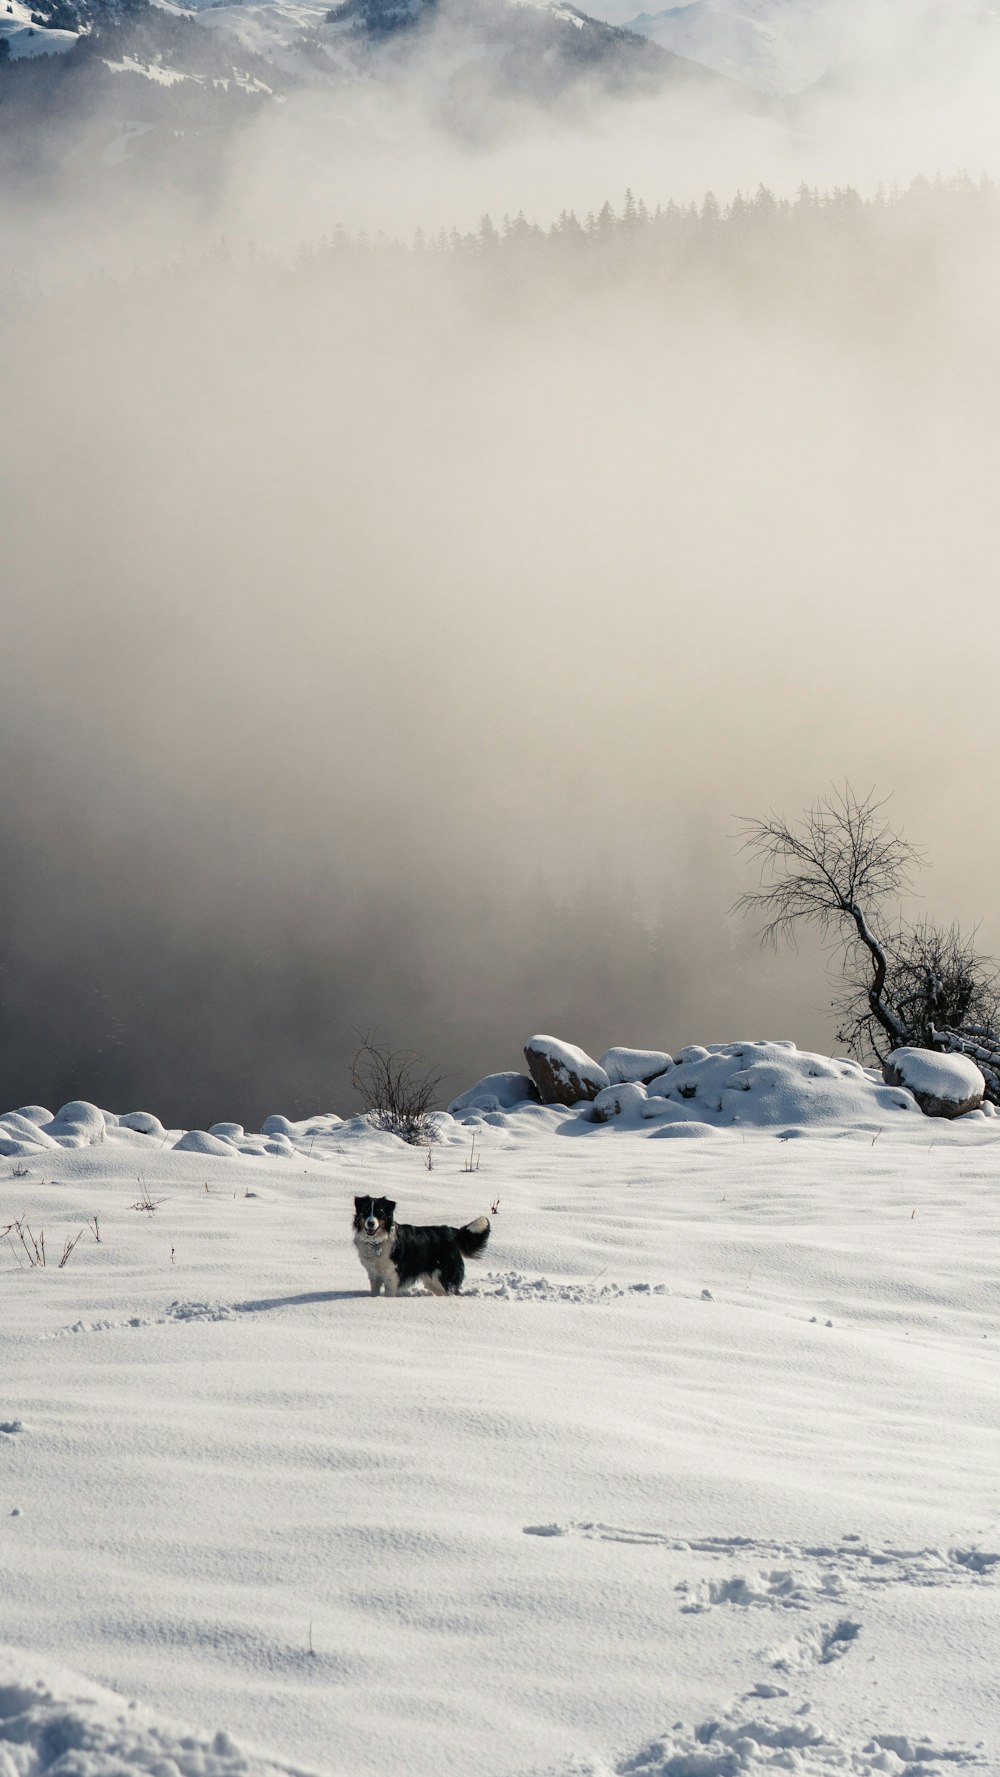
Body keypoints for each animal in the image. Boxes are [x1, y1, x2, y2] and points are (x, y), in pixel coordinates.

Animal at [351, 1194, 493, 1293]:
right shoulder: (374, 1274)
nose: (370, 1223)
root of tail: (451, 1232)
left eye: (379, 1213)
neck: (377, 1243)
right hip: (432, 1280)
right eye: (365, 1211)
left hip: (445, 1276)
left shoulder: (392, 1275)